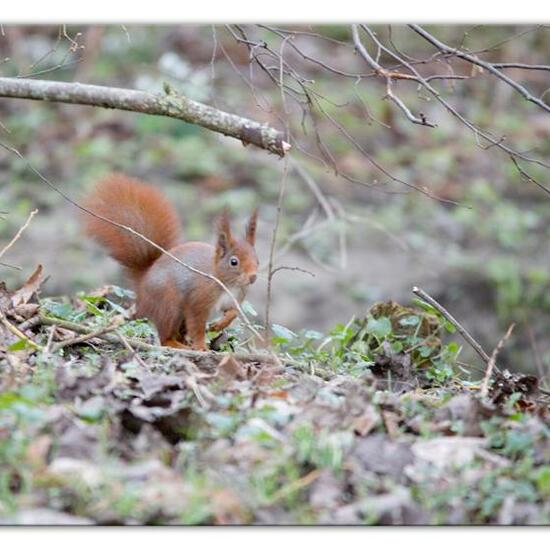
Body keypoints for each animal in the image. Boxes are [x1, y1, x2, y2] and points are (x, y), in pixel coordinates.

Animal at [83, 175, 260, 352]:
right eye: (234, 262)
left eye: (257, 260)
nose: (253, 277)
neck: (227, 283)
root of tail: (143, 284)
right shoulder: (198, 299)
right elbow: (197, 325)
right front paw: (201, 347)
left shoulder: (234, 299)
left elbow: (233, 313)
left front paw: (219, 325)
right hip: (169, 305)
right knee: (165, 338)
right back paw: (179, 345)